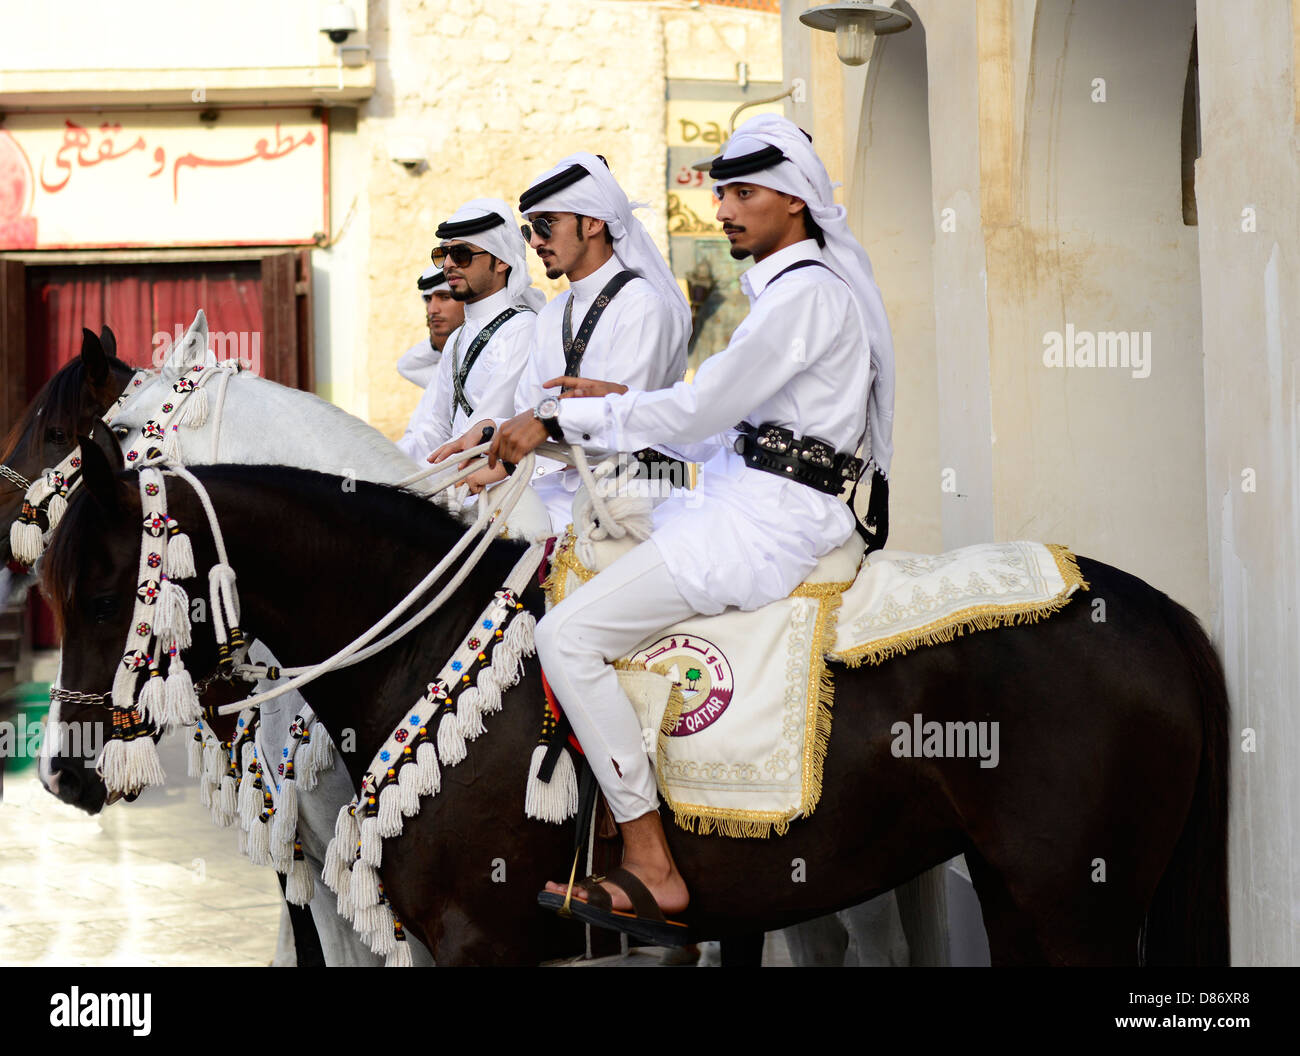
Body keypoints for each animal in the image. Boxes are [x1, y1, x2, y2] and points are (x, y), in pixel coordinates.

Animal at [43, 444, 1227, 967]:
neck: (421, 643)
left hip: (1072, 910)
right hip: (1026, 899)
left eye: (103, 591)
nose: (63, 770)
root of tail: (1159, 609)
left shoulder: (483, 944)